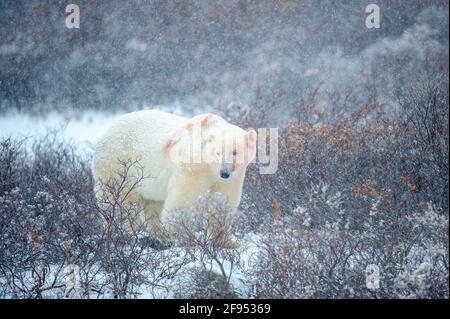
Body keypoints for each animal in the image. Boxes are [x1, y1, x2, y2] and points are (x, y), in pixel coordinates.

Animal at [92, 110, 256, 248]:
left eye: (235, 152)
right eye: (217, 152)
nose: (225, 173)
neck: (209, 168)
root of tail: (106, 132)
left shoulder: (233, 177)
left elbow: (222, 201)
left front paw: (227, 243)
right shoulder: (192, 167)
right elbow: (183, 200)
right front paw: (188, 239)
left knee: (153, 205)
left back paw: (161, 236)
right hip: (118, 166)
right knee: (120, 201)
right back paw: (123, 233)